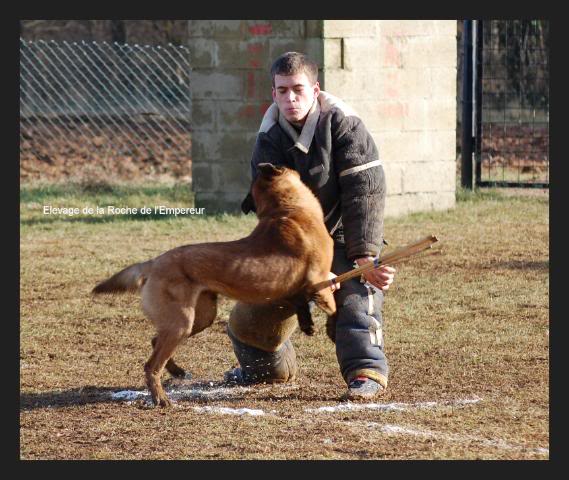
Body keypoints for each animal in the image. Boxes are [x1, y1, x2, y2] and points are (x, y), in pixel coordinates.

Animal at [91, 163, 336, 406]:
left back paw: (177, 371)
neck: (289, 208)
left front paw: (308, 324)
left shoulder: (300, 288)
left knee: (154, 341)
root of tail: (154, 263)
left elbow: (302, 301)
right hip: (181, 323)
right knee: (151, 365)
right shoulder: (320, 279)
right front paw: (331, 327)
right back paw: (161, 398)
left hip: (199, 318)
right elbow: (335, 305)